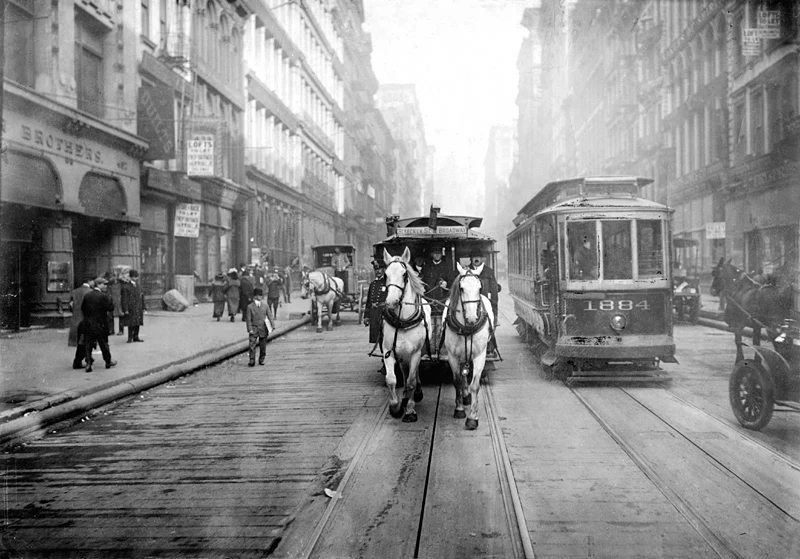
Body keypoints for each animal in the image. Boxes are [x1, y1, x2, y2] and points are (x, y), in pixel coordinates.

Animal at [382, 247, 432, 422]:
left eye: (404, 275)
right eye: (385, 275)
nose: (391, 301)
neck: (402, 321)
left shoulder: (416, 353)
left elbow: (411, 381)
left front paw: (410, 410)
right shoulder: (388, 351)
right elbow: (391, 380)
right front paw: (395, 407)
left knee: (413, 374)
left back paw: (415, 394)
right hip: (402, 355)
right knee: (404, 373)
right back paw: (403, 397)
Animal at [444, 264, 494, 430]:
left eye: (480, 287)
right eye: (461, 288)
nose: (472, 318)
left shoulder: (480, 355)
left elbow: (475, 386)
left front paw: (472, 418)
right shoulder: (452, 356)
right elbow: (457, 381)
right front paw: (459, 410)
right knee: (462, 375)